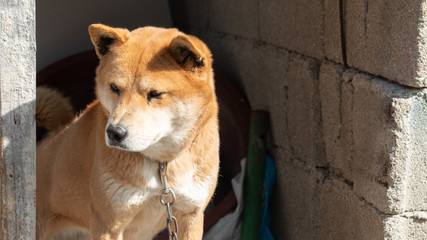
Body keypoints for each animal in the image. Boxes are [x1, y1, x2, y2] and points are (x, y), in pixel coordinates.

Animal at [36, 24, 221, 240]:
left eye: (155, 94)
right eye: (114, 87)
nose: (114, 133)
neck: (162, 167)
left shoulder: (191, 214)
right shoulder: (108, 225)